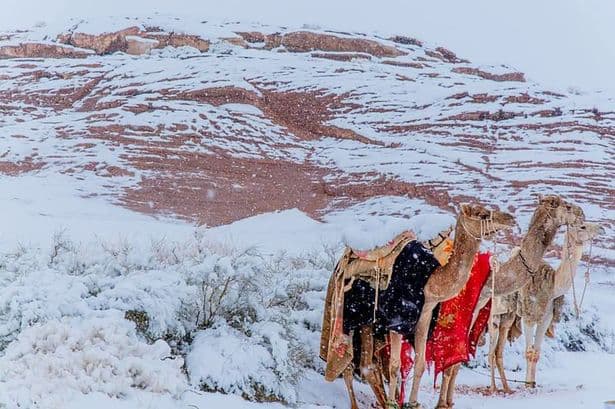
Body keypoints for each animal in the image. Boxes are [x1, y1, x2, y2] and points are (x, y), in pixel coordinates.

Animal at [426, 194, 584, 408]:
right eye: (565, 206)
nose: (581, 213)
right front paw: (442, 403)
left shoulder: (475, 311)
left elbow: (457, 360)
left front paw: (448, 402)